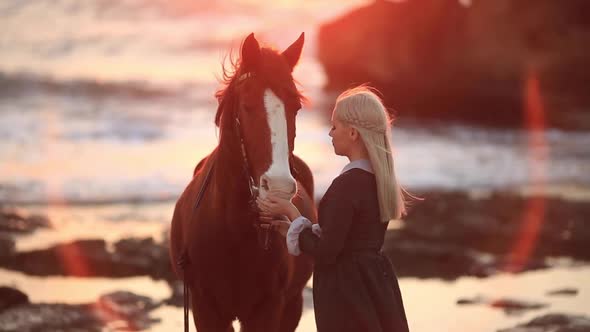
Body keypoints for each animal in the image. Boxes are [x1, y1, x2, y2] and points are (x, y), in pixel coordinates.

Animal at [170, 31, 320, 332]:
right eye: (247, 105)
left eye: (296, 107)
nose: (278, 189)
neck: (233, 229)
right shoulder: (206, 309)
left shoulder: (269, 309)